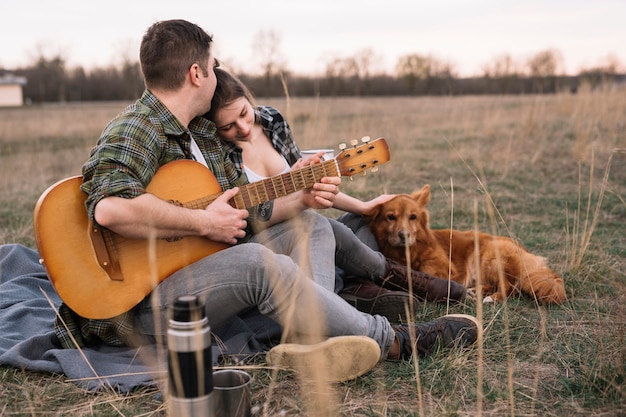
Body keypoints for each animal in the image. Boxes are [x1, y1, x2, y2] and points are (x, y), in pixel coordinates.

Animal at [366, 184, 564, 302]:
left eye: (412, 217)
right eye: (390, 217)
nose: (404, 235)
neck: (407, 252)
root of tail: (526, 252)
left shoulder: (446, 267)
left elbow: (426, 270)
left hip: (490, 257)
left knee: (511, 286)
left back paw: (492, 297)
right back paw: (477, 290)